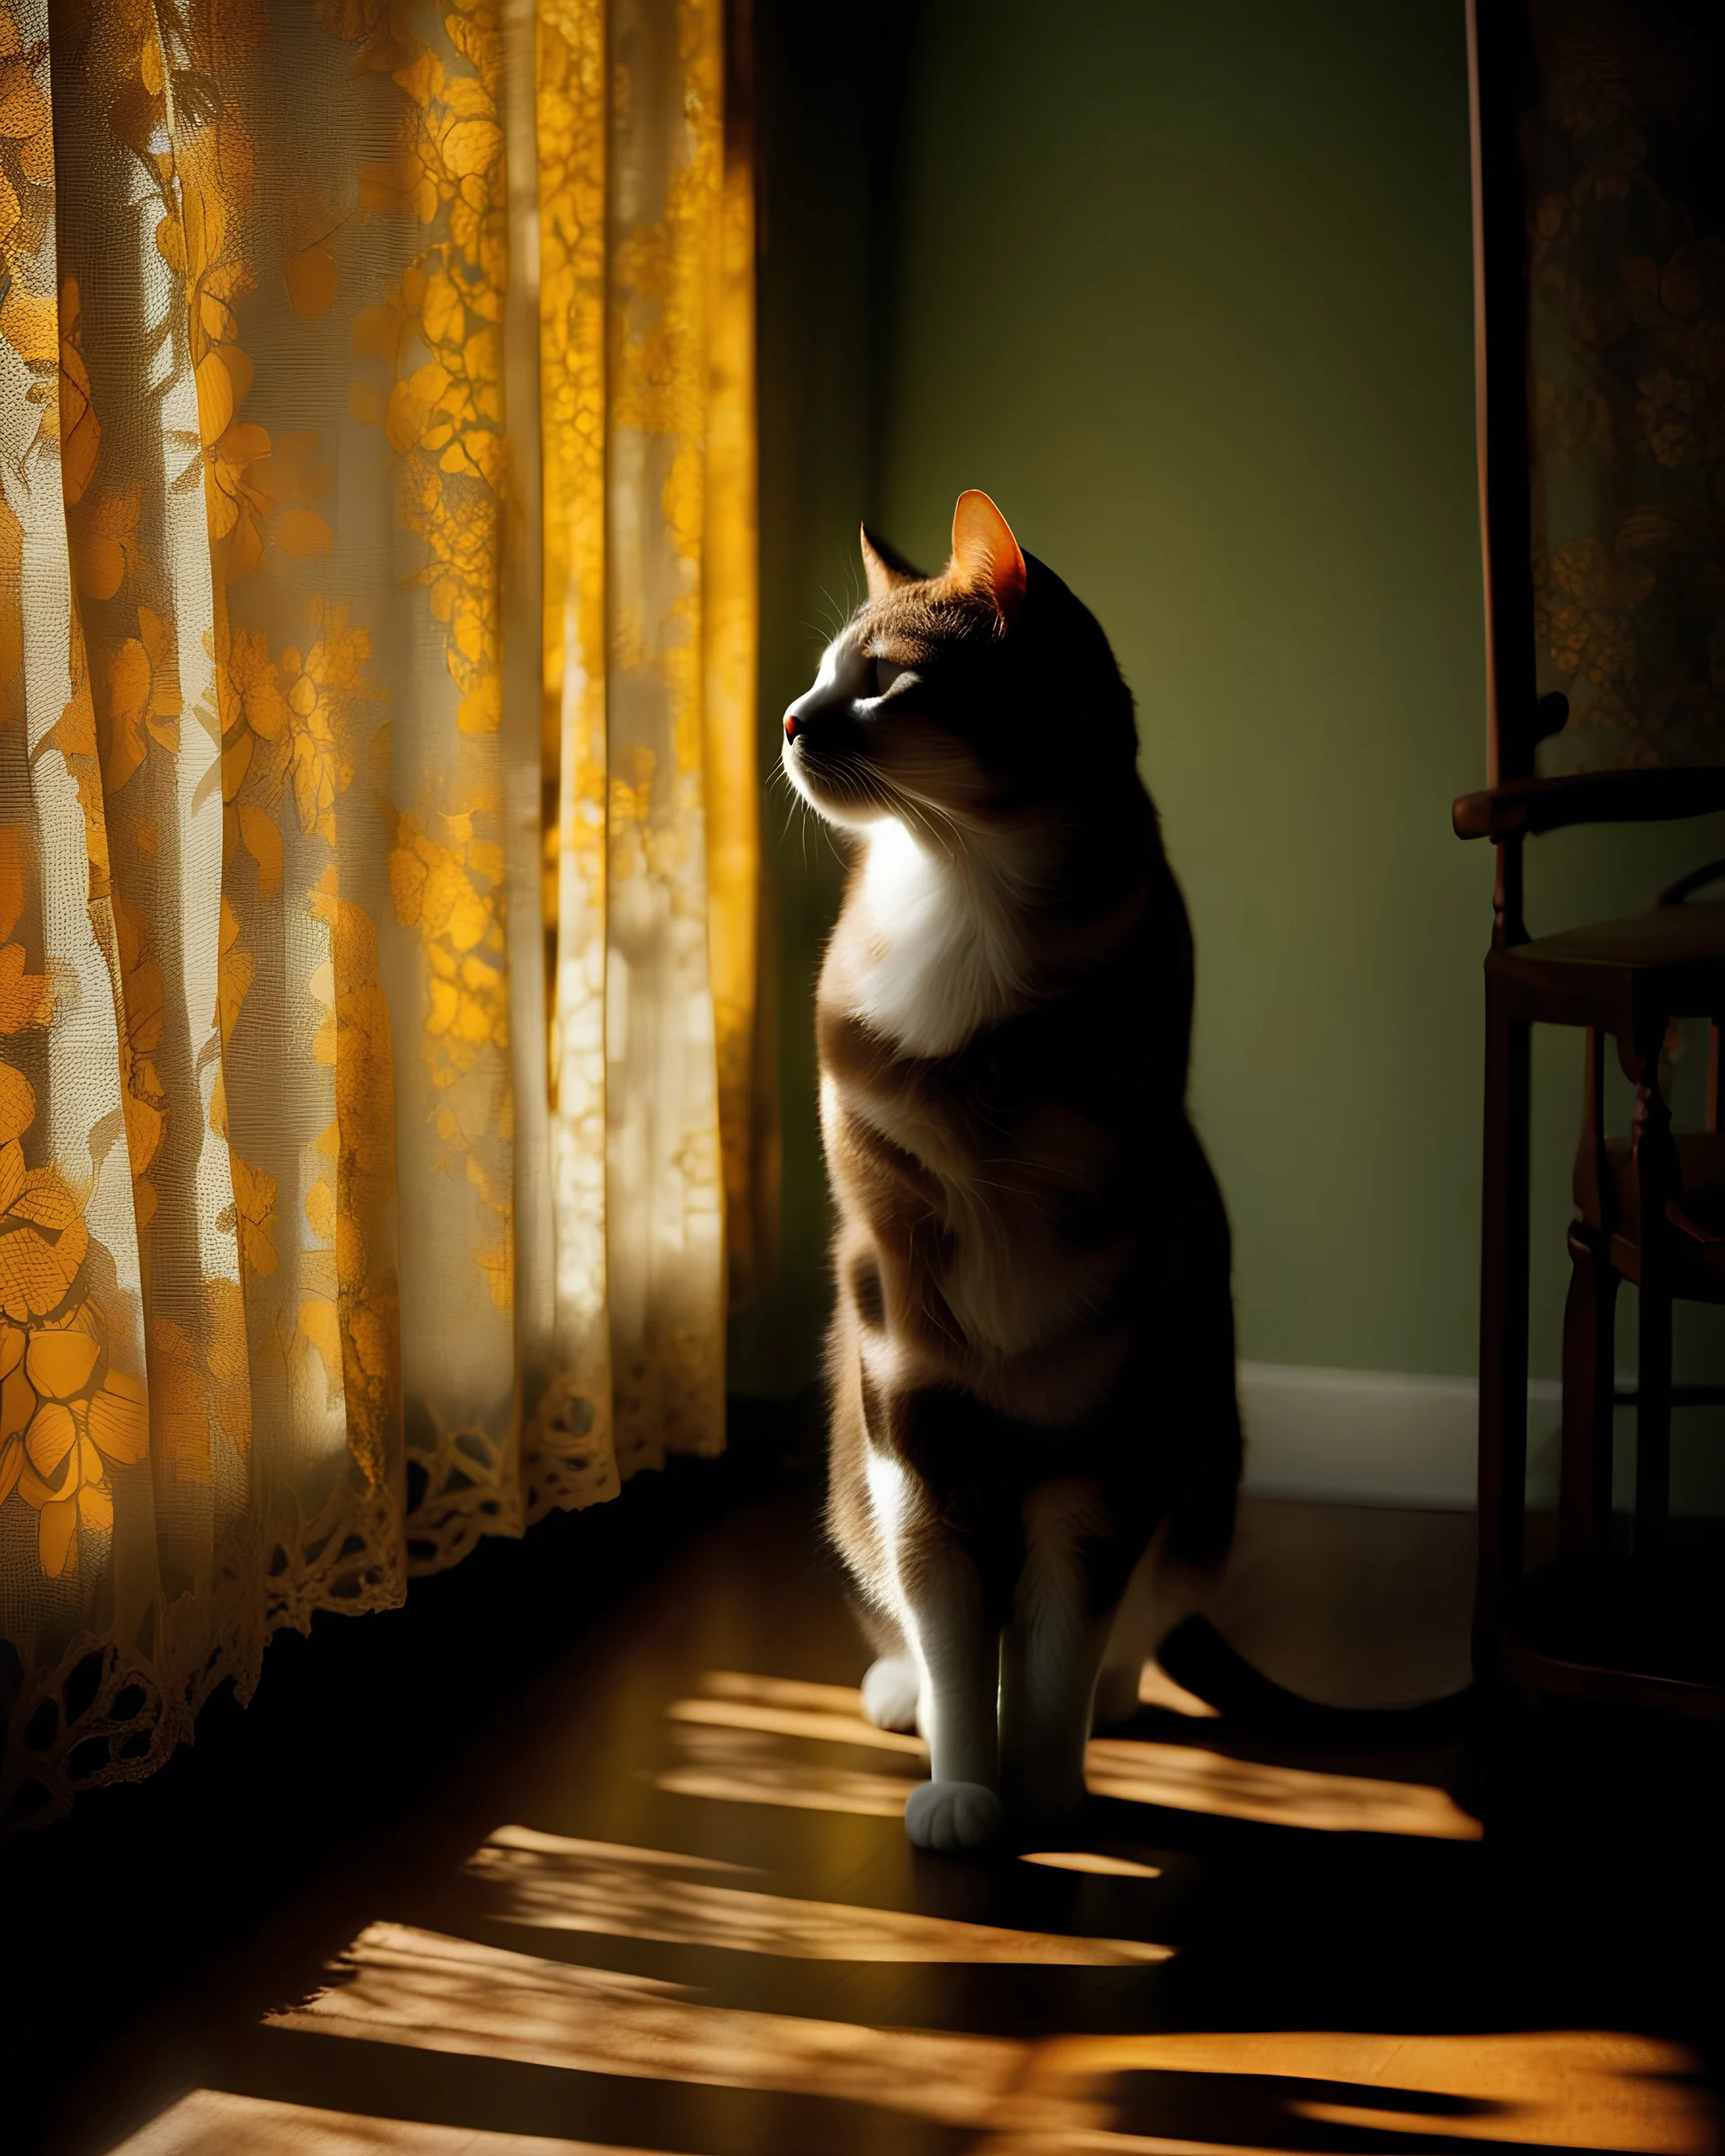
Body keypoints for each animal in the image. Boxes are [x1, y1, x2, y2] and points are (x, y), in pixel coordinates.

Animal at [780, 489, 1242, 1854]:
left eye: (883, 678)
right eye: (820, 674)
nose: (790, 719)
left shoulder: (1097, 1458)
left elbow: (1048, 1655)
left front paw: (1042, 1798)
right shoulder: (912, 1425)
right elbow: (949, 1637)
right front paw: (962, 1792)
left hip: (1206, 1474)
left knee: (1131, 1631)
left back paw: (1117, 1708)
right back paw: (894, 1700)